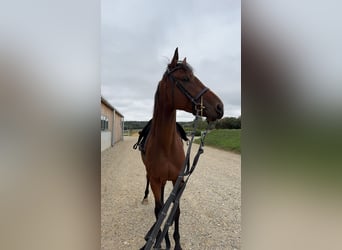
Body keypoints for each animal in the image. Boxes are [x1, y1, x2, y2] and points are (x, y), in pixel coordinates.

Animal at [140, 47, 223, 249]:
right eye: (185, 79)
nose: (220, 107)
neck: (165, 146)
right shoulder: (156, 180)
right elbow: (159, 211)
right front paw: (161, 240)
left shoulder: (179, 180)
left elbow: (174, 211)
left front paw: (176, 242)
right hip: (152, 176)